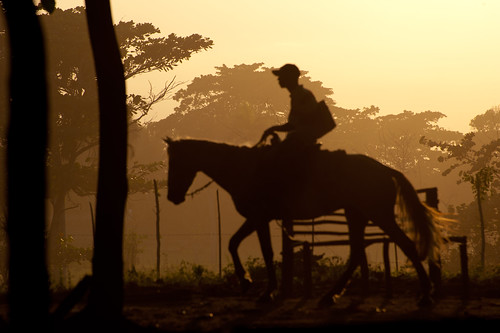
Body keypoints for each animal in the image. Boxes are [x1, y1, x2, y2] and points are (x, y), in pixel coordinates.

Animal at [166, 136, 448, 304]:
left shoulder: (259, 218)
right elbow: (233, 243)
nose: (172, 196)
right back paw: (330, 295)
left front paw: (266, 290)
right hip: (356, 214)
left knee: (404, 245)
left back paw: (426, 294)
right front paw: (246, 281)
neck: (245, 169)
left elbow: (264, 252)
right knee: (357, 253)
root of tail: (386, 169)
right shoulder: (256, 219)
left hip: (378, 214)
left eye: (175, 162)